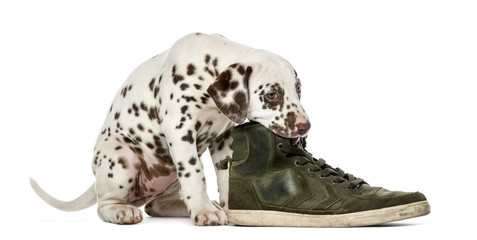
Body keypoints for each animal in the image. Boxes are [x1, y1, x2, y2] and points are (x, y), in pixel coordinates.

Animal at [30, 32, 312, 226]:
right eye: (273, 95)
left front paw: (227, 207)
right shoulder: (180, 132)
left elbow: (226, 176)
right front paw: (205, 211)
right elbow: (196, 176)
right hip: (121, 159)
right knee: (104, 204)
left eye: (298, 89)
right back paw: (122, 211)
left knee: (156, 206)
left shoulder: (223, 139)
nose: (305, 126)